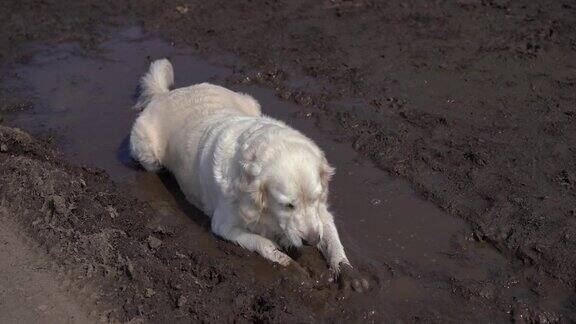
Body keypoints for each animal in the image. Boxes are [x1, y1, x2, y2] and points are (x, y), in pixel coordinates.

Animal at [128, 58, 348, 274]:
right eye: (288, 205)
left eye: (315, 199)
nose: (312, 240)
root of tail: (166, 94)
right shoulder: (223, 225)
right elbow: (263, 243)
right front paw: (284, 258)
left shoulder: (320, 213)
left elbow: (330, 234)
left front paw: (343, 266)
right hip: (146, 151)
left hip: (250, 102)